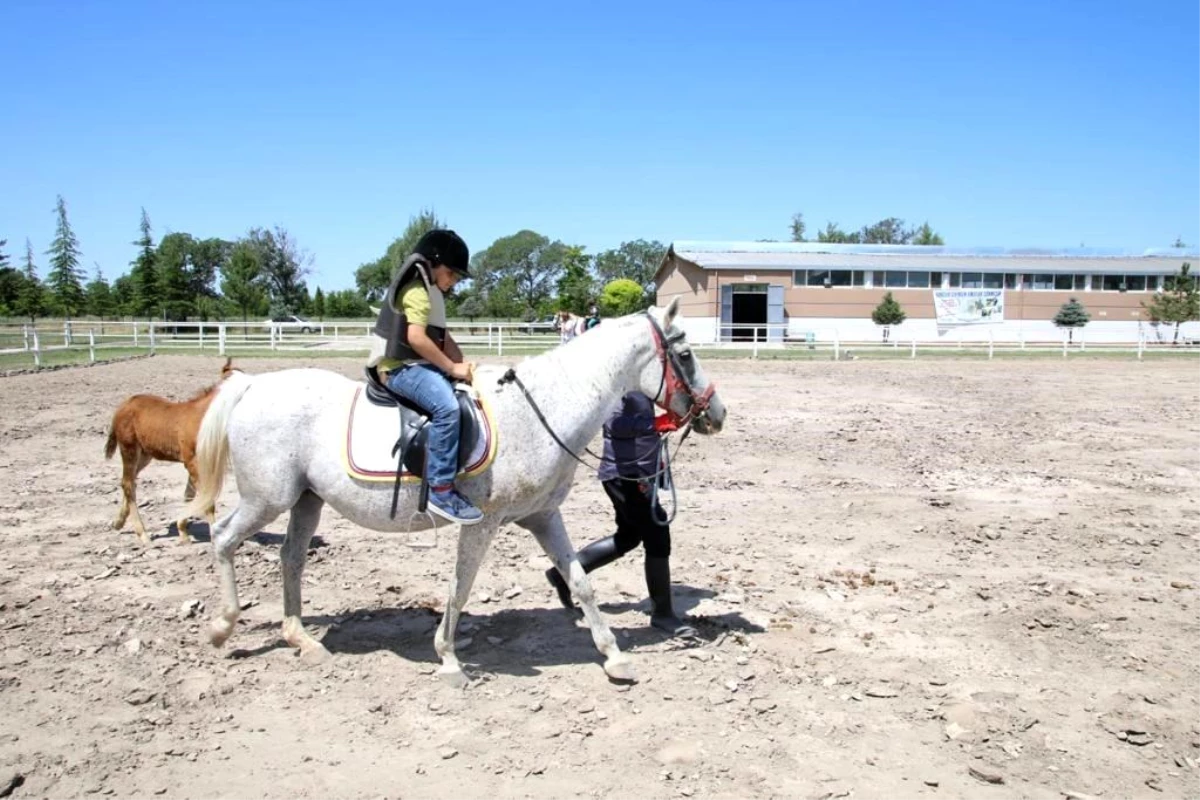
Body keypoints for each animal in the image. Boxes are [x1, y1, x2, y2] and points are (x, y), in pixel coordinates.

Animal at [105, 362, 241, 544]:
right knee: (128, 484)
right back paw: (142, 533)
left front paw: (183, 531)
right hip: (129, 449)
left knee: (129, 482)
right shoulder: (192, 462)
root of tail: (123, 406)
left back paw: (118, 522)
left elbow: (189, 495)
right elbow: (206, 500)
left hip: (145, 455)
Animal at [183, 299, 724, 690]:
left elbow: (581, 582)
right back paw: (222, 626)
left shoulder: (544, 517)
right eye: (685, 354)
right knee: (224, 538)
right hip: (266, 499)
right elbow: (460, 587)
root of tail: (252, 386)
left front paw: (614, 657)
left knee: (291, 558)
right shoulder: (482, 524)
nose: (716, 413)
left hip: (305, 501)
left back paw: (301, 638)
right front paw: (448, 660)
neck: (540, 410)